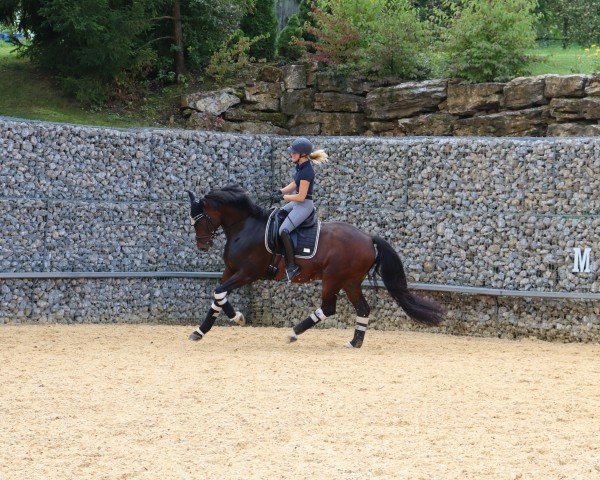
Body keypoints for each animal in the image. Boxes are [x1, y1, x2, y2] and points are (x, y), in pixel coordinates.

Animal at [185, 185, 442, 348]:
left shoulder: (248, 273)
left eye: (200, 219)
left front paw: (237, 317)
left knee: (328, 308)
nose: (202, 246)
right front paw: (200, 331)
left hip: (333, 278)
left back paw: (293, 333)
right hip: (350, 281)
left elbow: (220, 292)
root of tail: (368, 238)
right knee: (363, 308)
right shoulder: (230, 270)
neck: (245, 226)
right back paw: (354, 342)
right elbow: (217, 296)